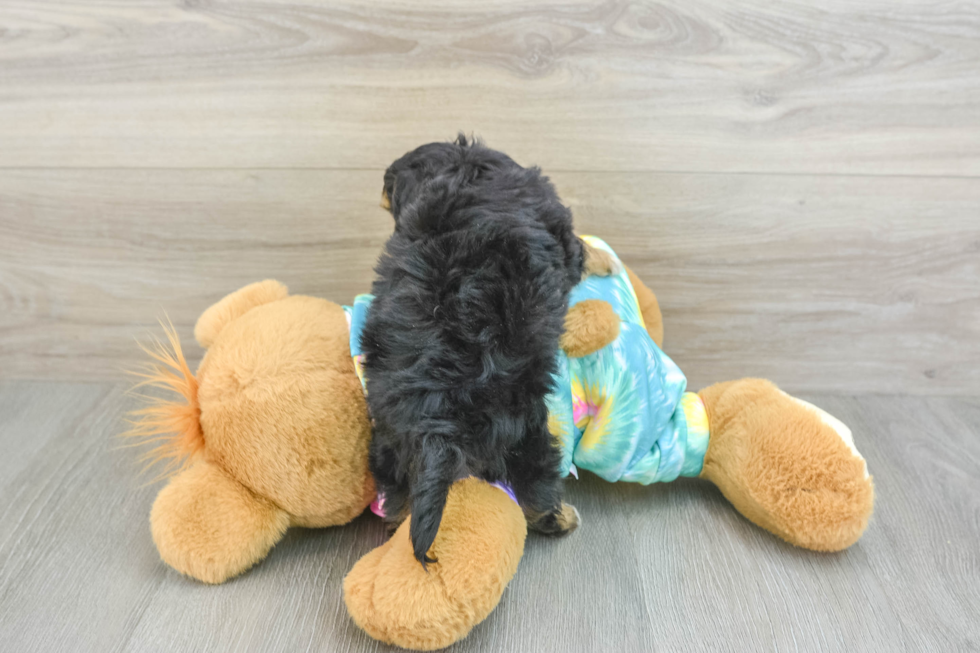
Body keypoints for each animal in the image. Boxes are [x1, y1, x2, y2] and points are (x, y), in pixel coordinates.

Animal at [364, 134, 608, 564]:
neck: (463, 168)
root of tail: (437, 421)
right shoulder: (562, 235)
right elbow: (581, 250)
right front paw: (607, 259)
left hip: (389, 440)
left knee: (394, 492)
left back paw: (396, 524)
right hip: (527, 429)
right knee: (536, 484)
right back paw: (561, 519)